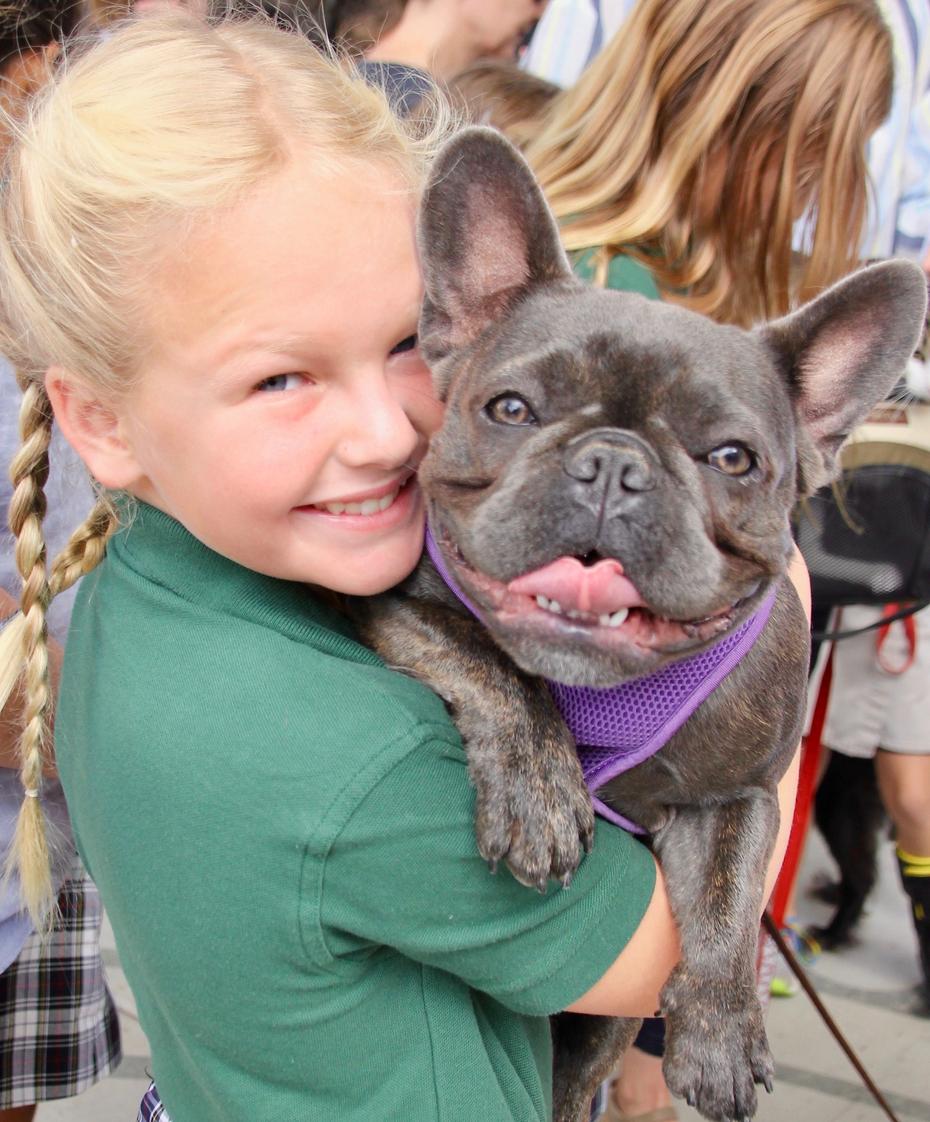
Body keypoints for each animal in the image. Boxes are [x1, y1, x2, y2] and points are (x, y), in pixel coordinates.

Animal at [350, 131, 928, 1122]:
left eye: (732, 458)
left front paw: (724, 1031)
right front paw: (542, 791)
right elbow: (489, 660)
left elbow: (733, 892)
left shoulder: (741, 792)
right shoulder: (390, 600)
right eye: (511, 409)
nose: (614, 464)